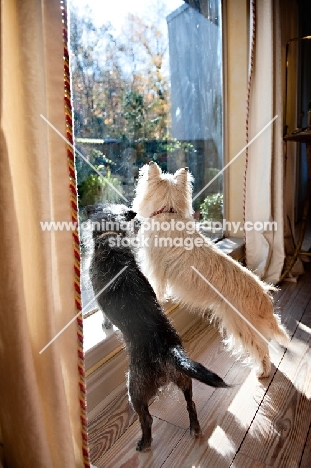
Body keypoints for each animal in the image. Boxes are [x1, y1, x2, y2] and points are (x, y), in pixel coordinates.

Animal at [88, 204, 229, 450]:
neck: (110, 237)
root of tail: (169, 351)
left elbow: (104, 316)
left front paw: (104, 325)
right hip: (184, 378)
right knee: (190, 403)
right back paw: (194, 428)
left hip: (135, 389)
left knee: (147, 418)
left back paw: (144, 442)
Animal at [133, 163, 292, 378]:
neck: (169, 212)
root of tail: (264, 297)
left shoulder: (156, 268)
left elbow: (156, 287)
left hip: (240, 326)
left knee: (261, 349)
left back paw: (262, 372)